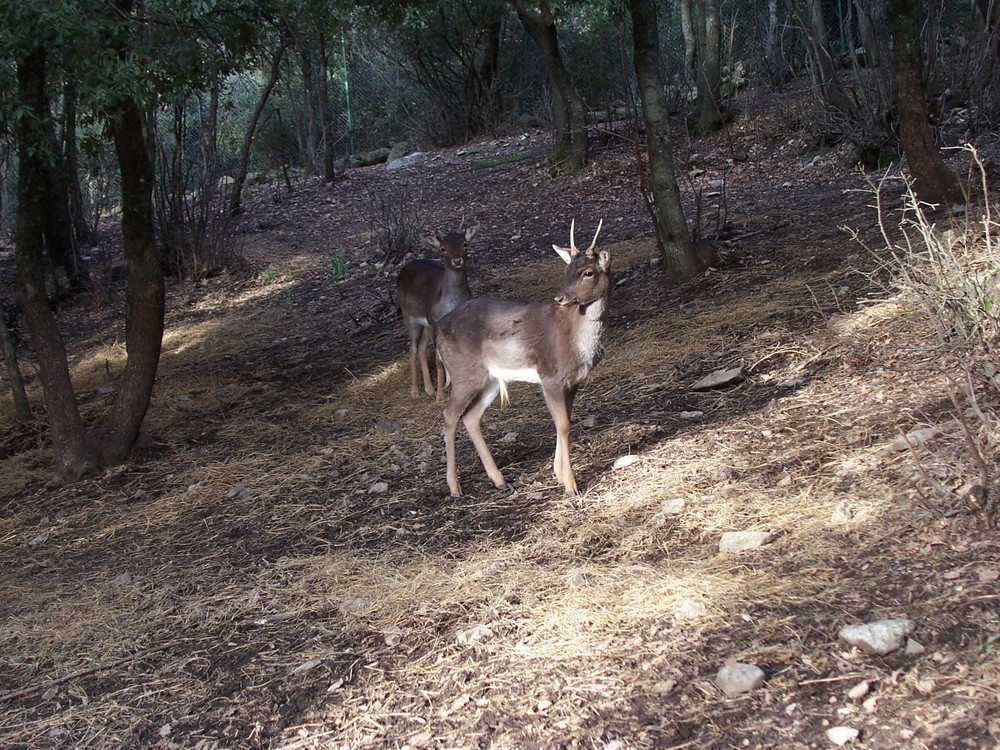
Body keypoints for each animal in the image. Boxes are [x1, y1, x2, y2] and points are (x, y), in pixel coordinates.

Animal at [396, 223, 478, 400]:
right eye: (443, 248)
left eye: (465, 243)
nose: (457, 260)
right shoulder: (435, 321)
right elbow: (439, 359)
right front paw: (440, 396)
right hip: (409, 316)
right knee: (412, 348)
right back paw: (415, 391)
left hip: (426, 323)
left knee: (421, 347)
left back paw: (429, 388)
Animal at [436, 219, 608, 500]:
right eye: (566, 271)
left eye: (588, 273)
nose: (560, 298)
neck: (576, 341)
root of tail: (437, 330)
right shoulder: (550, 376)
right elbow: (563, 424)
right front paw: (570, 485)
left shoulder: (573, 381)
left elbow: (565, 421)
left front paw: (558, 474)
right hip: (463, 372)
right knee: (449, 415)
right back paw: (454, 487)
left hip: (491, 379)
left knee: (470, 416)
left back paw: (499, 480)